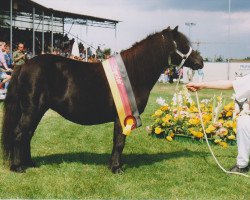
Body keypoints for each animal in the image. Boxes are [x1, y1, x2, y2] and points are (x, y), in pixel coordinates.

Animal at [0, 26, 203, 173]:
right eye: (183, 45)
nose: (200, 62)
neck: (132, 72)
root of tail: (24, 65)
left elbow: (117, 141)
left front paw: (113, 165)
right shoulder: (122, 116)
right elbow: (120, 142)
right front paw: (116, 168)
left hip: (37, 111)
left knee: (27, 135)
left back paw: (29, 163)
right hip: (32, 110)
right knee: (20, 134)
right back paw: (17, 167)